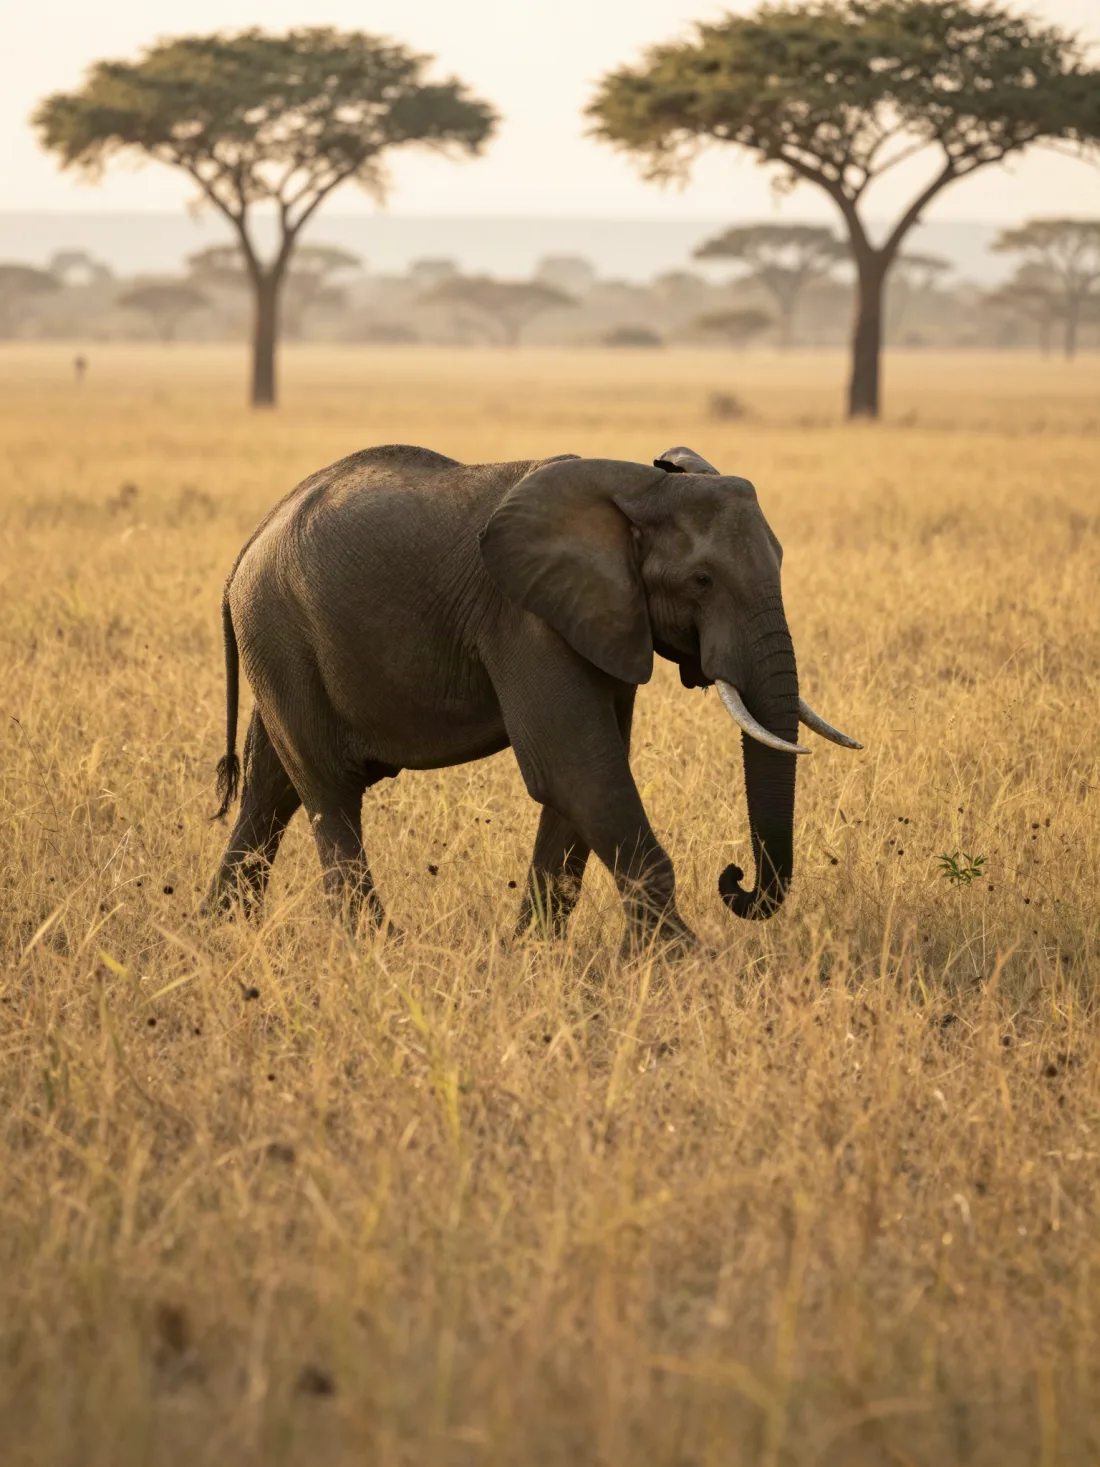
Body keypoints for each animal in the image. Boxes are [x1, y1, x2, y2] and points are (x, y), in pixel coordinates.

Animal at [205, 442, 861, 951]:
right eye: (702, 581)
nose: (734, 879)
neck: (641, 486)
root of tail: (247, 547)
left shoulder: (604, 620)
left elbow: (582, 784)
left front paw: (529, 956)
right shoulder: (526, 620)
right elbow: (577, 771)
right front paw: (682, 966)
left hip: (281, 647)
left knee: (271, 789)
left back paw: (218, 934)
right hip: (281, 633)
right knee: (329, 788)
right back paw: (377, 950)